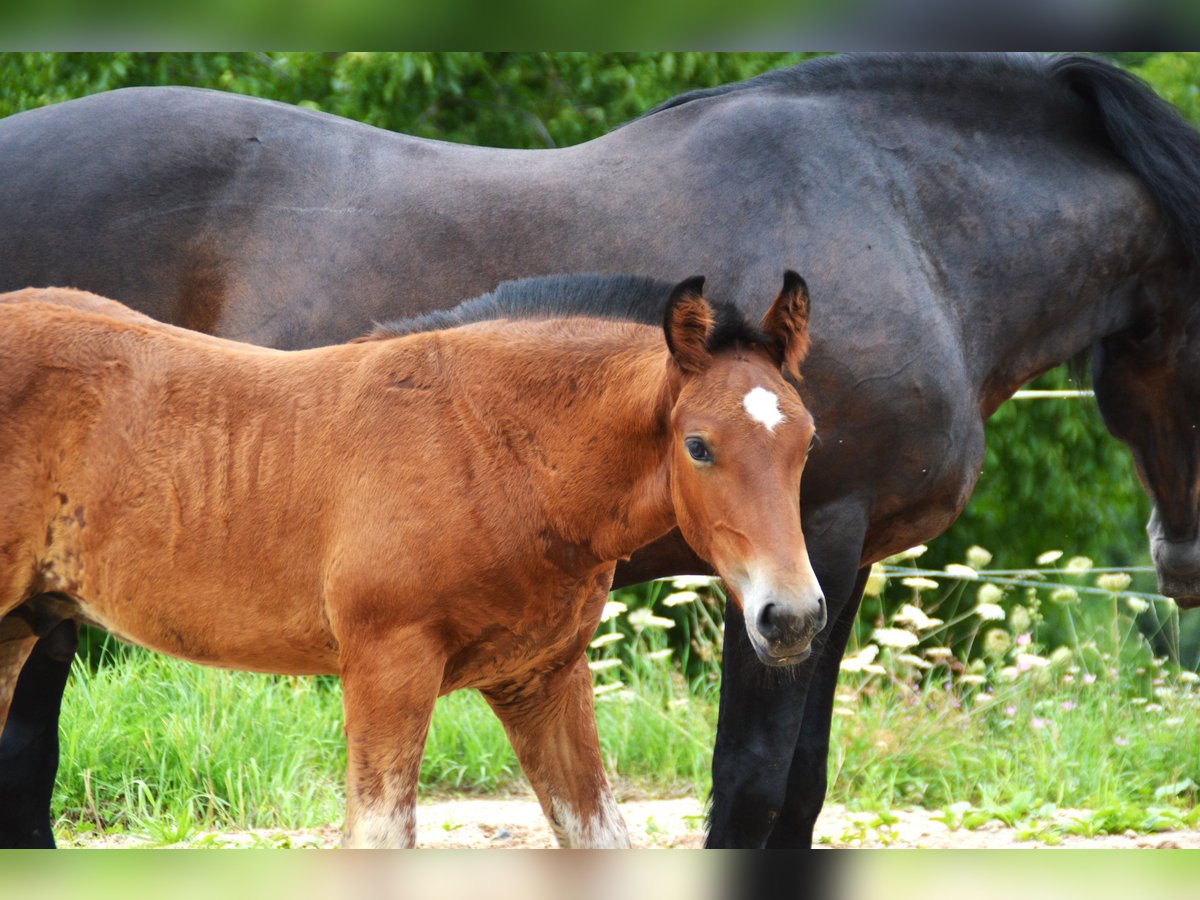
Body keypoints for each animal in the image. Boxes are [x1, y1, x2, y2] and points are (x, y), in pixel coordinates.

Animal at [0, 274, 818, 848]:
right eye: (698, 446)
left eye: (808, 440)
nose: (793, 617)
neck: (493, 448)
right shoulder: (387, 664)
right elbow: (379, 837)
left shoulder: (543, 677)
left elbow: (599, 837)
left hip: (17, 626)